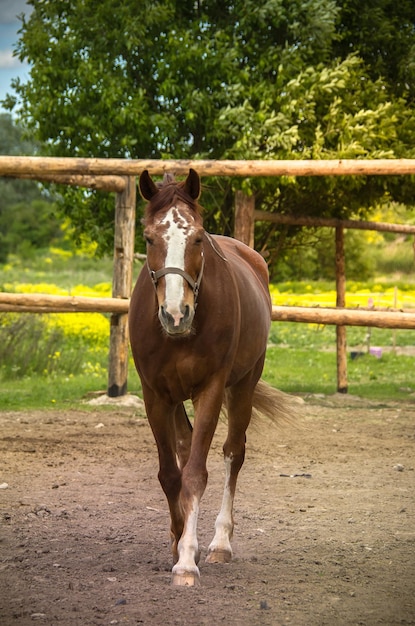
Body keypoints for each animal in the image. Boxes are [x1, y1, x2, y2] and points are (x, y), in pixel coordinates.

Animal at [130, 167, 300, 584]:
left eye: (196, 237)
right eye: (149, 238)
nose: (176, 314)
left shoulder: (210, 389)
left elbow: (195, 474)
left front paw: (186, 562)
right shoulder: (155, 396)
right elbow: (170, 474)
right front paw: (177, 542)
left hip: (243, 386)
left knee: (233, 453)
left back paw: (221, 543)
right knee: (185, 448)